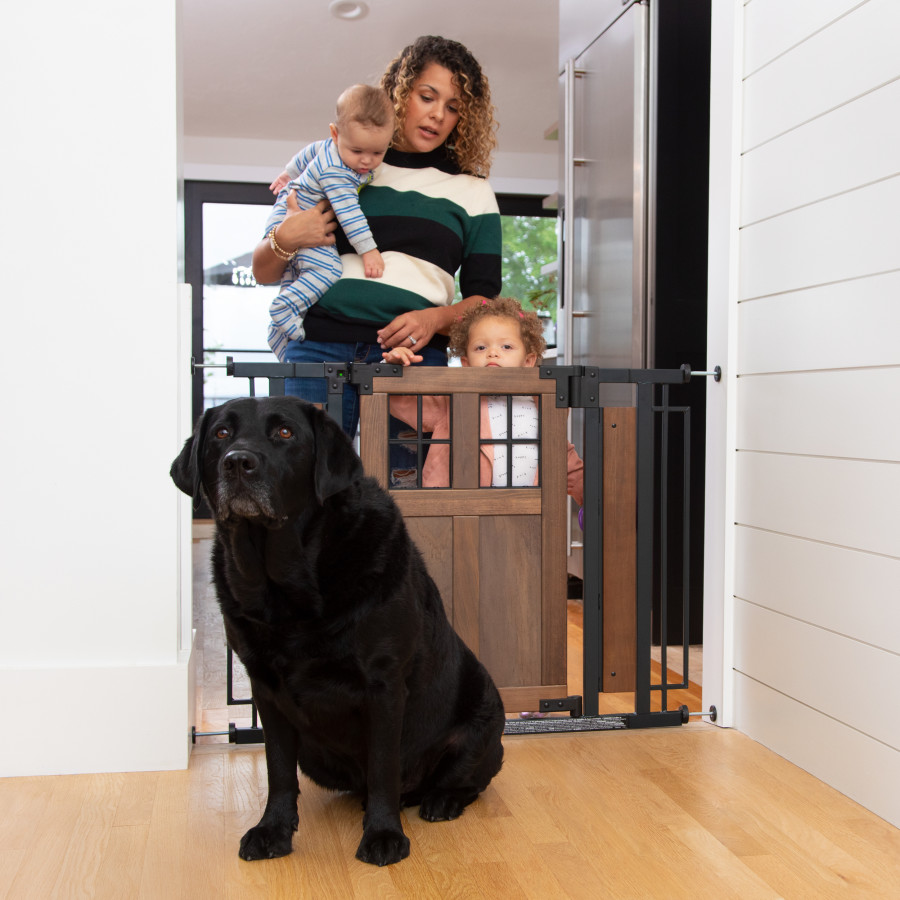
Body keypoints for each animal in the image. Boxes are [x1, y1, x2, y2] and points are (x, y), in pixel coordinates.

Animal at [171, 398, 506, 868]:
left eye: (285, 433)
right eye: (221, 434)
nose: (237, 462)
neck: (287, 584)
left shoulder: (383, 685)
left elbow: (383, 767)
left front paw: (383, 835)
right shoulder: (265, 689)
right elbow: (278, 771)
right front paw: (272, 830)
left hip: (486, 715)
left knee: (463, 779)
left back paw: (441, 799)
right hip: (315, 755)